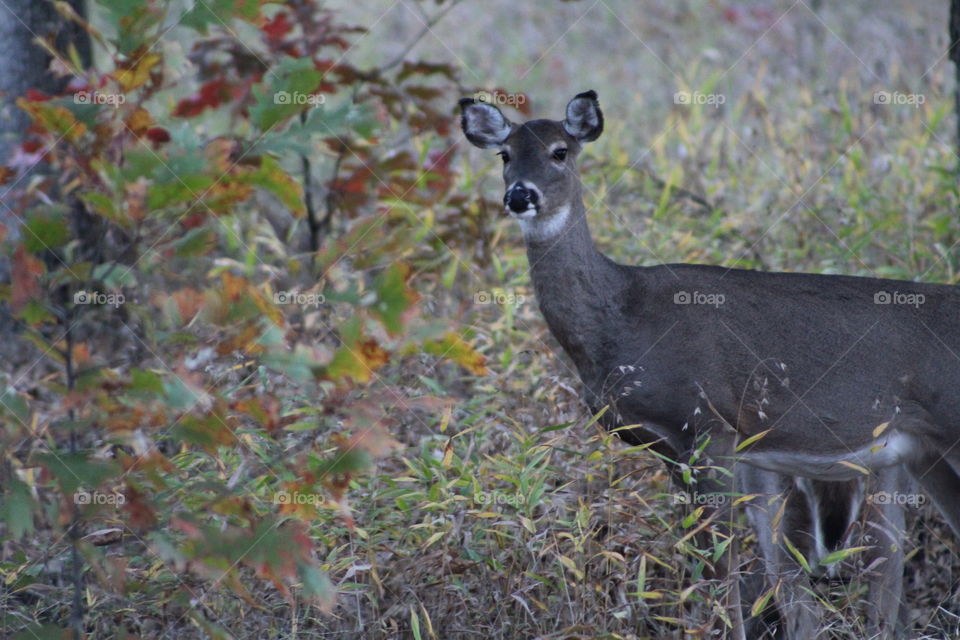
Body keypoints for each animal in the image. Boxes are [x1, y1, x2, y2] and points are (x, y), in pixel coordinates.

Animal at [459, 90, 960, 639]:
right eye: (504, 154)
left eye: (560, 151)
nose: (519, 196)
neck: (619, 320)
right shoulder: (669, 448)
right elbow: (703, 562)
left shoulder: (709, 425)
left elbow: (723, 565)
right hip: (925, 451)